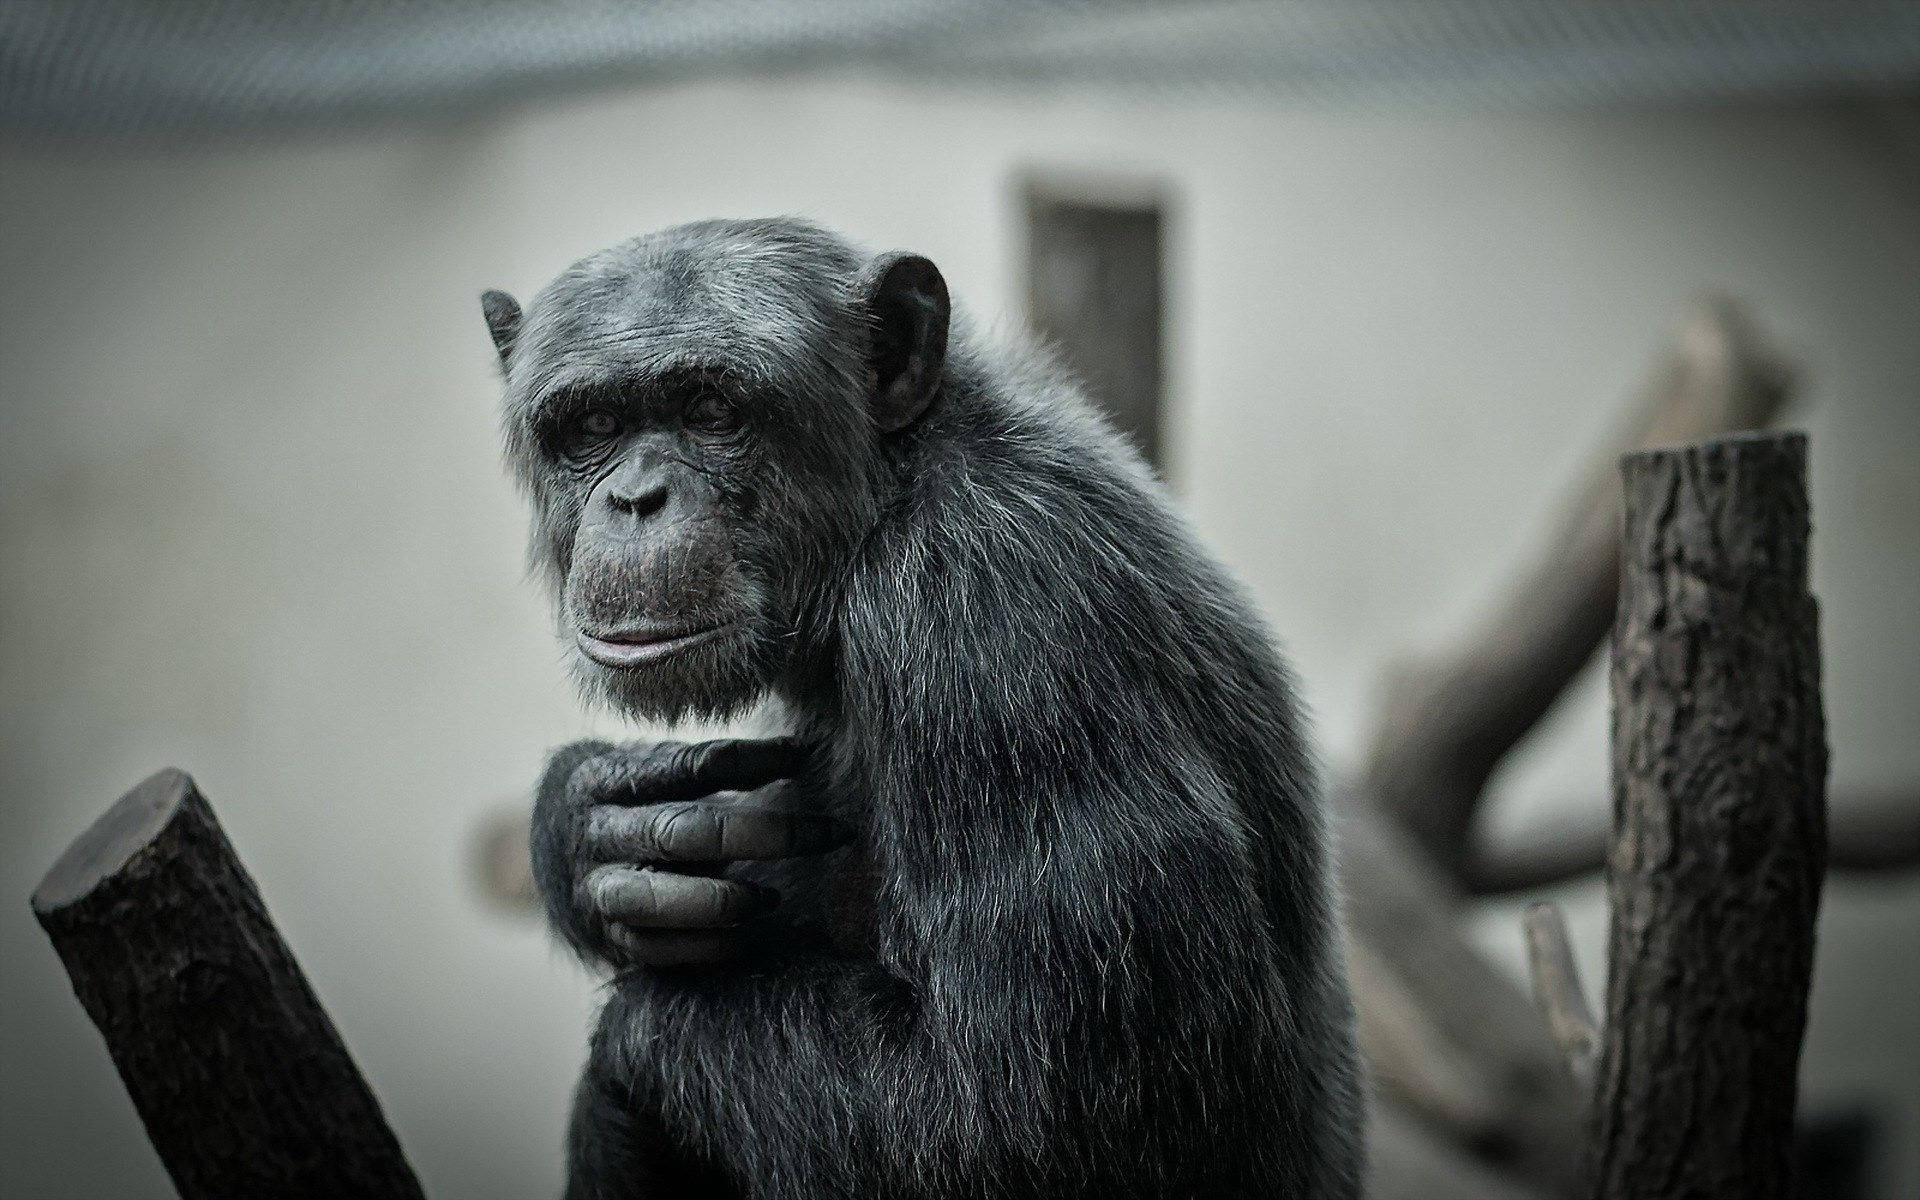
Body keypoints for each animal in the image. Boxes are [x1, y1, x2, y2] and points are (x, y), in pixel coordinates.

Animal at [482, 217, 1363, 1200]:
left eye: (711, 410)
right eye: (594, 426)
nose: (636, 499)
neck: (889, 497)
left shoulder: (998, 629)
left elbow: (1014, 1118)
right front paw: (589, 823)